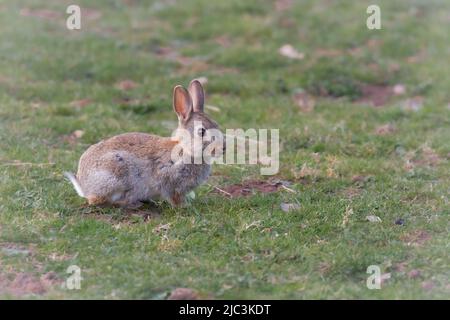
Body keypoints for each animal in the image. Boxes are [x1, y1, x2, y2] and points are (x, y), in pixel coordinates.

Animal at [63, 80, 225, 208]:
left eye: (216, 125)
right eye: (202, 131)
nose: (223, 148)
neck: (185, 149)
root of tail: (84, 186)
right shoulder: (170, 180)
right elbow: (174, 196)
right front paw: (185, 206)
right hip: (117, 173)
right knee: (99, 201)